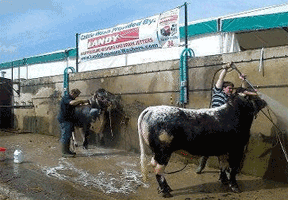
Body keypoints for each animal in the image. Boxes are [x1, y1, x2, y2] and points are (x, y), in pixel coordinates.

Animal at [138, 88, 266, 198]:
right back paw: (165, 191)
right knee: (158, 169)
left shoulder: (223, 149)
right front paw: (235, 187)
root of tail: (151, 109)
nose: (264, 101)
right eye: (256, 97)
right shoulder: (236, 149)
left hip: (158, 152)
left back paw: (166, 189)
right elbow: (233, 168)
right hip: (163, 152)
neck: (235, 114)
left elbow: (223, 165)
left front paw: (224, 181)